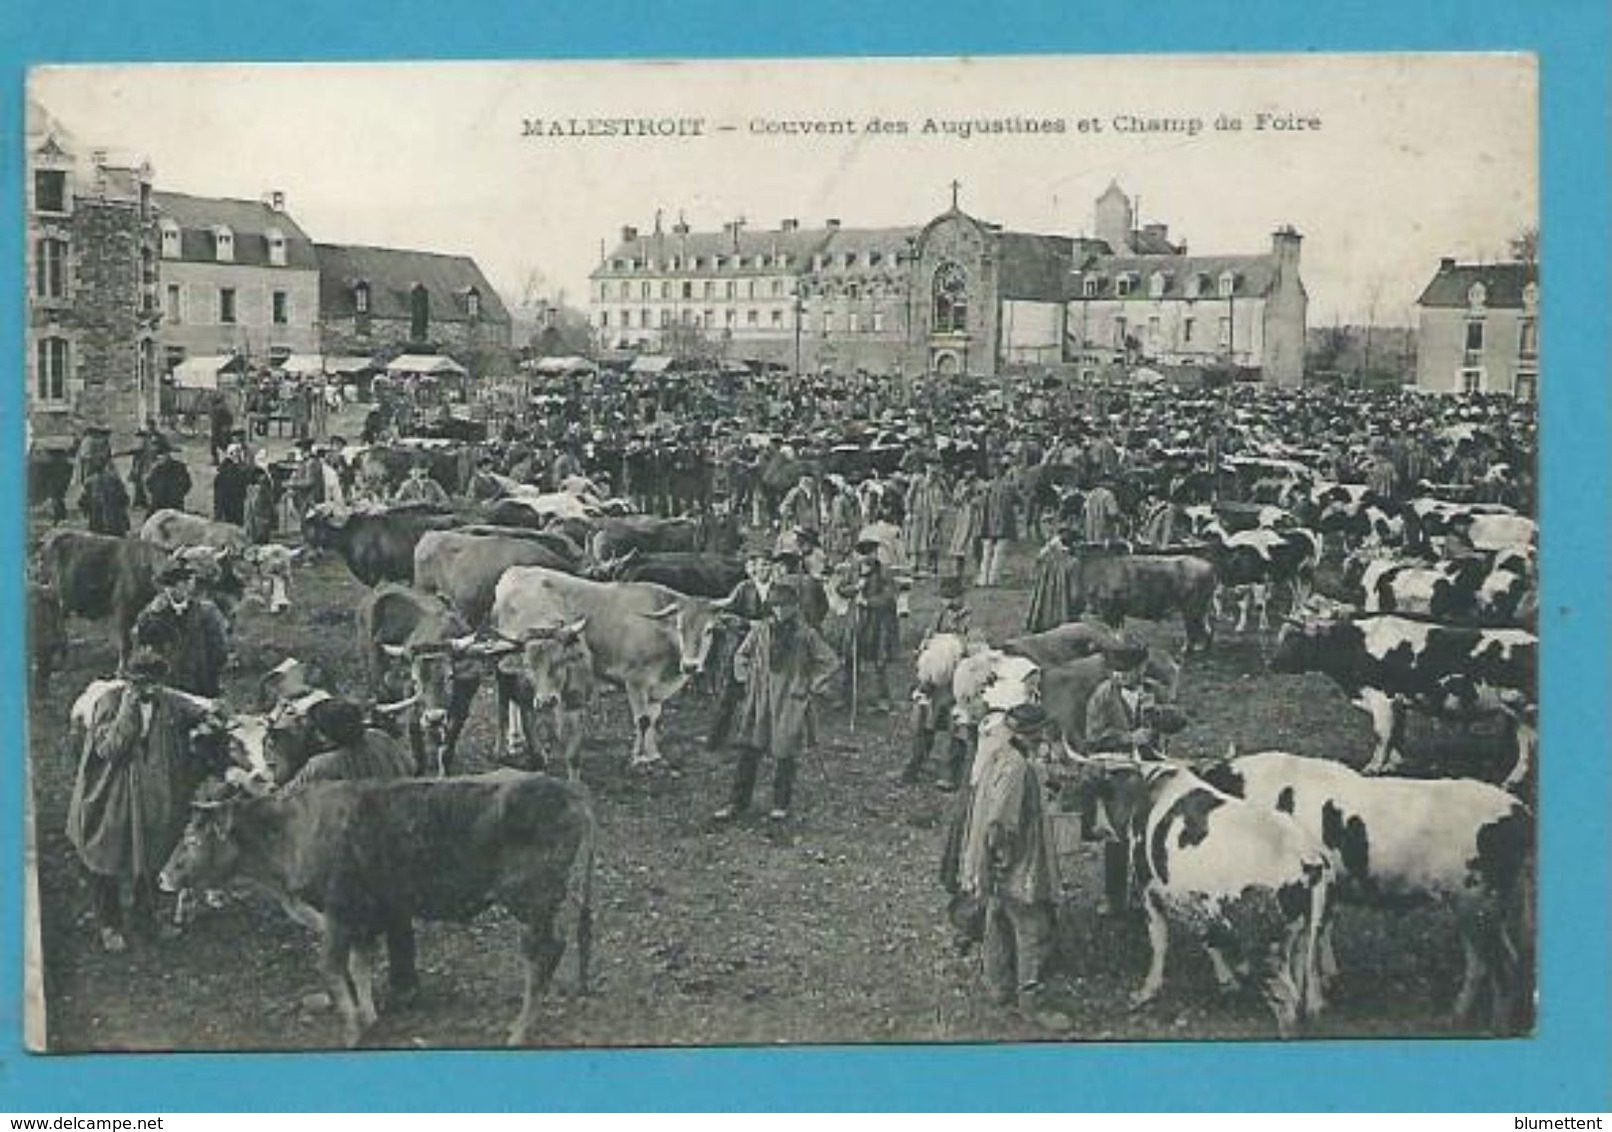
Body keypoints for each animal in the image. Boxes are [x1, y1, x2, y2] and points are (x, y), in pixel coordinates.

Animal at [162, 777, 599, 1051]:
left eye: (192, 838)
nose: (163, 875)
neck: (294, 831)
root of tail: (570, 794)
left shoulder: (338, 913)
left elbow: (333, 968)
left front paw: (352, 1030)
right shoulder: (365, 916)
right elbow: (361, 964)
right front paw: (369, 1018)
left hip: (531, 901)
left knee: (542, 954)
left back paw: (519, 1031)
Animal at [490, 567, 738, 770]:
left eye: (709, 630)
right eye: (679, 628)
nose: (690, 665)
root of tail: (514, 572)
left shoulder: (656, 688)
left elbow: (654, 718)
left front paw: (654, 755)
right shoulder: (636, 681)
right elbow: (643, 720)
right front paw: (639, 759)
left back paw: (516, 739)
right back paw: (511, 741)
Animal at [1070, 548, 1212, 651]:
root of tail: (1211, 568)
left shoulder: (1109, 607)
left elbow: (1114, 631)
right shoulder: (1117, 610)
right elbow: (1118, 630)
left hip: (1192, 608)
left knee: (1193, 629)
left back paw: (1186, 650)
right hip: (1202, 608)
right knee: (1207, 629)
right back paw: (1200, 649)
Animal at [1270, 612, 1534, 790]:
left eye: (1294, 639)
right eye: (1280, 636)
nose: (1271, 663)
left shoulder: (1380, 698)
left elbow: (1382, 735)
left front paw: (1373, 768)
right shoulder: (1397, 702)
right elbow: (1396, 733)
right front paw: (1392, 765)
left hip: (1526, 709)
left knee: (1526, 745)